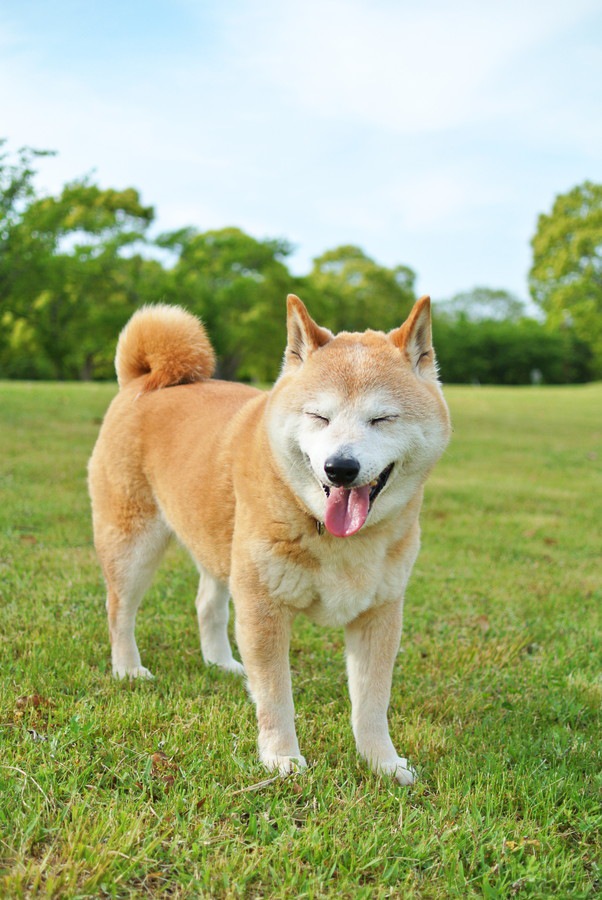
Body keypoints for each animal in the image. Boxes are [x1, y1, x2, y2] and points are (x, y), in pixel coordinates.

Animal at [86, 294, 448, 780]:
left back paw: (221, 663)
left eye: (382, 418)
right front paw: (282, 758)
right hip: (134, 544)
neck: (335, 538)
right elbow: (276, 696)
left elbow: (372, 703)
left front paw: (383, 763)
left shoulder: (380, 613)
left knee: (207, 604)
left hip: (222, 545)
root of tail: (143, 381)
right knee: (119, 610)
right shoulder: (264, 607)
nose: (340, 467)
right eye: (319, 416)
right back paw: (128, 669)